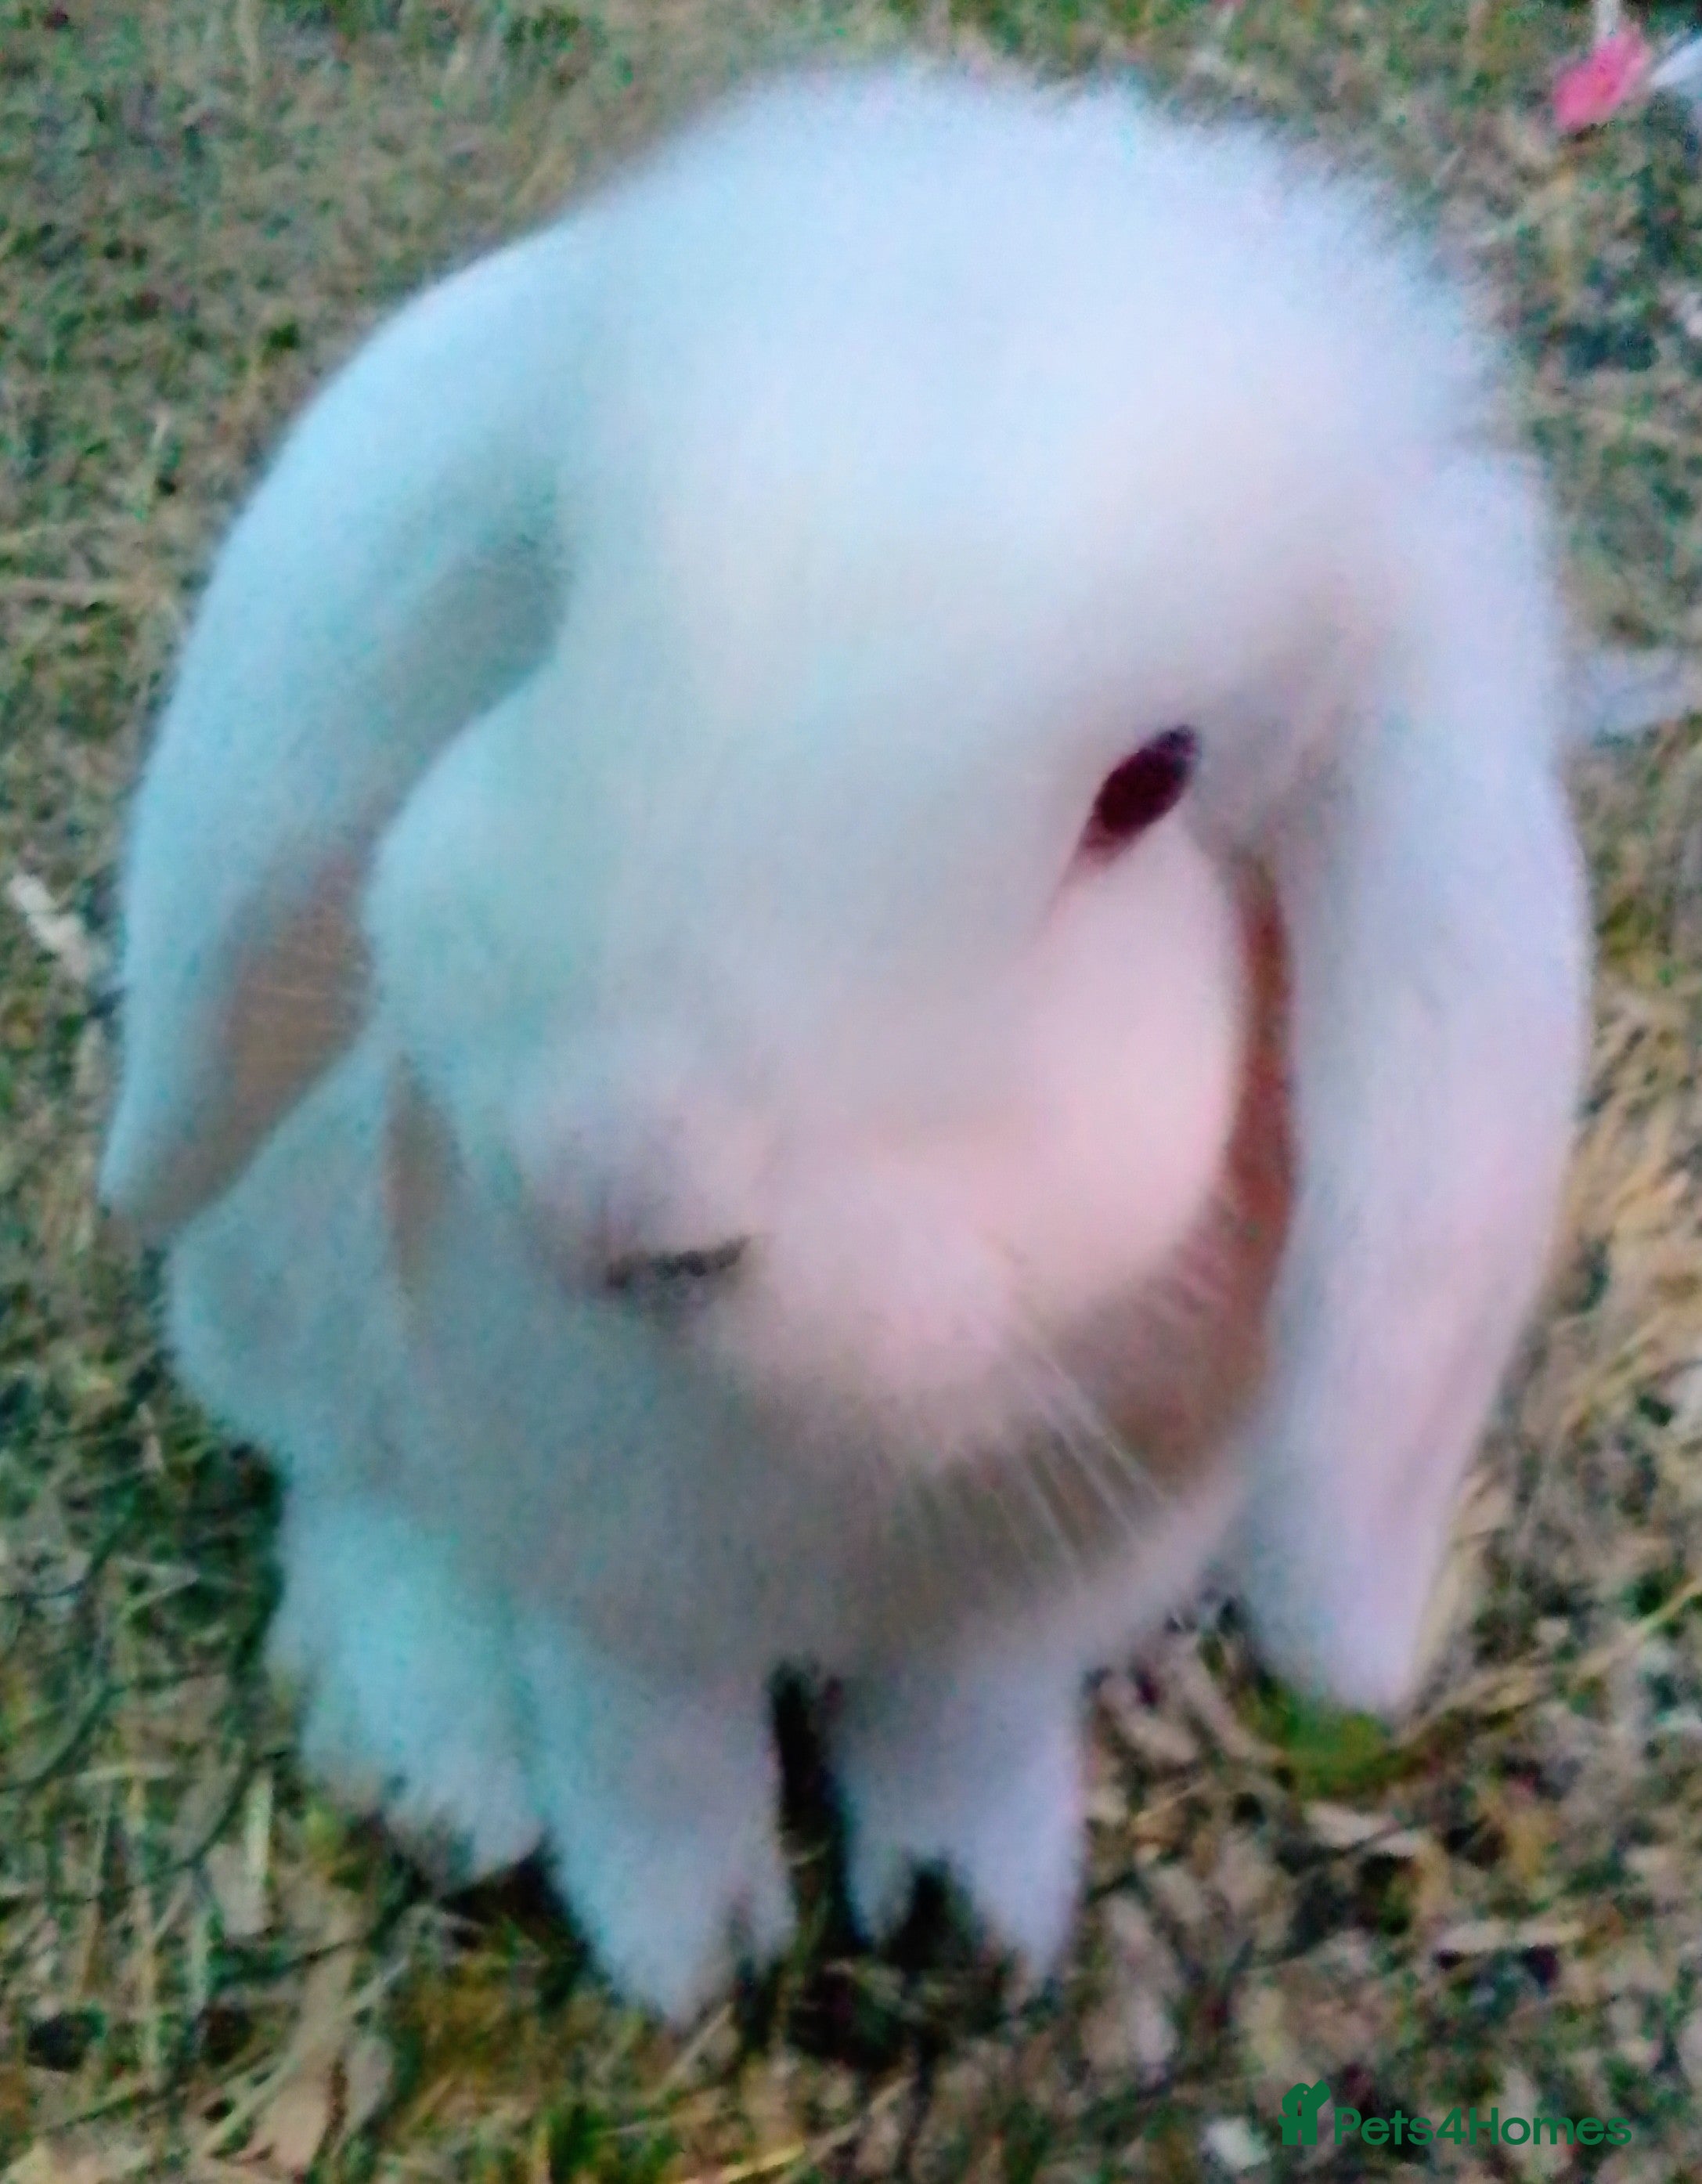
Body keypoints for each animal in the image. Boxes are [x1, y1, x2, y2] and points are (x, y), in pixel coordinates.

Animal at [99, 60, 1591, 2021]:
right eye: (566, 601)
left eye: (1149, 783)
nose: (608, 1193)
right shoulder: (604, 1561)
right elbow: (642, 1731)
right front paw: (691, 1950)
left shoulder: (1018, 1606)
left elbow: (959, 1719)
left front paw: (968, 1922)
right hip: (285, 1279)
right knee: (351, 1484)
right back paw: (436, 1761)